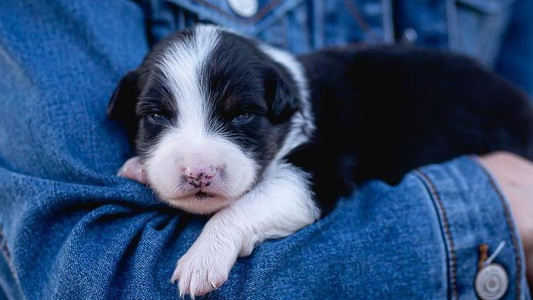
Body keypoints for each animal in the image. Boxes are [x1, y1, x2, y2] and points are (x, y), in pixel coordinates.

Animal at [107, 24, 532, 296]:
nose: (199, 172)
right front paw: (139, 168)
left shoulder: (319, 169)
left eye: (242, 115)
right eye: (156, 115)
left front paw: (203, 258)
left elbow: (244, 206)